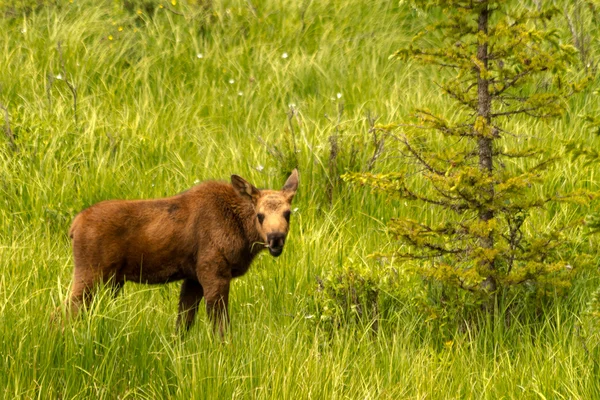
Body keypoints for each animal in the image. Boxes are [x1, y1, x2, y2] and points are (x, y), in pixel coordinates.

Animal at [66, 169, 300, 334]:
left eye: (287, 213)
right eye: (260, 215)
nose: (276, 239)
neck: (242, 232)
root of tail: (73, 227)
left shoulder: (193, 278)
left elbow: (183, 325)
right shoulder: (213, 272)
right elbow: (220, 328)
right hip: (90, 273)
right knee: (66, 310)